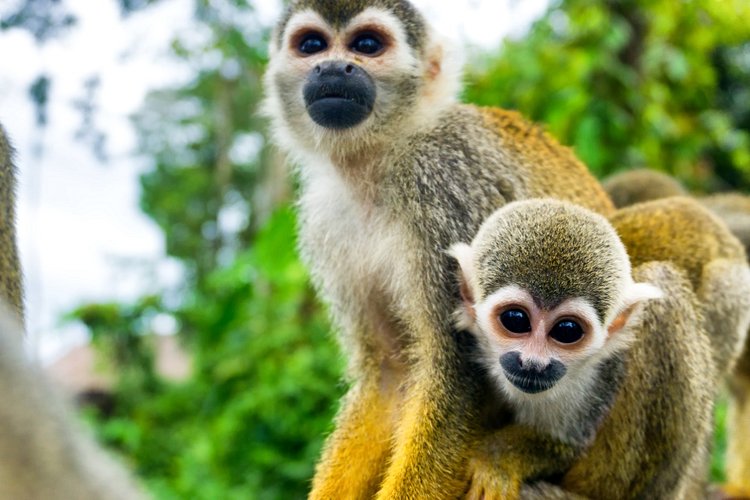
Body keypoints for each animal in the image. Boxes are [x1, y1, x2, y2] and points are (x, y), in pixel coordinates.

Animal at [264, 1, 616, 498]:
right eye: (312, 45)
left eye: (367, 45)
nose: (332, 67)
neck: (380, 163)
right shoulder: (325, 221)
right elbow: (390, 374)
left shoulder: (444, 184)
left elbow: (457, 372)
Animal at [452, 197, 750, 498]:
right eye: (516, 319)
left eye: (567, 330)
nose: (533, 363)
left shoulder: (594, 383)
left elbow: (566, 445)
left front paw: (499, 459)